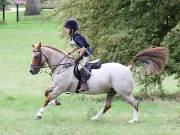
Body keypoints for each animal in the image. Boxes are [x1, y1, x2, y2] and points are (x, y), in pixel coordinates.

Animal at [29, 42, 169, 123]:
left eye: (36, 56)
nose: (31, 70)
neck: (63, 66)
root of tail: (127, 67)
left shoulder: (61, 88)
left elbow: (47, 98)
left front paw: (39, 115)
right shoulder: (56, 86)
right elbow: (46, 93)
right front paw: (55, 102)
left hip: (123, 92)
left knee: (135, 103)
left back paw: (134, 120)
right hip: (112, 91)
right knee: (107, 105)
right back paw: (95, 118)